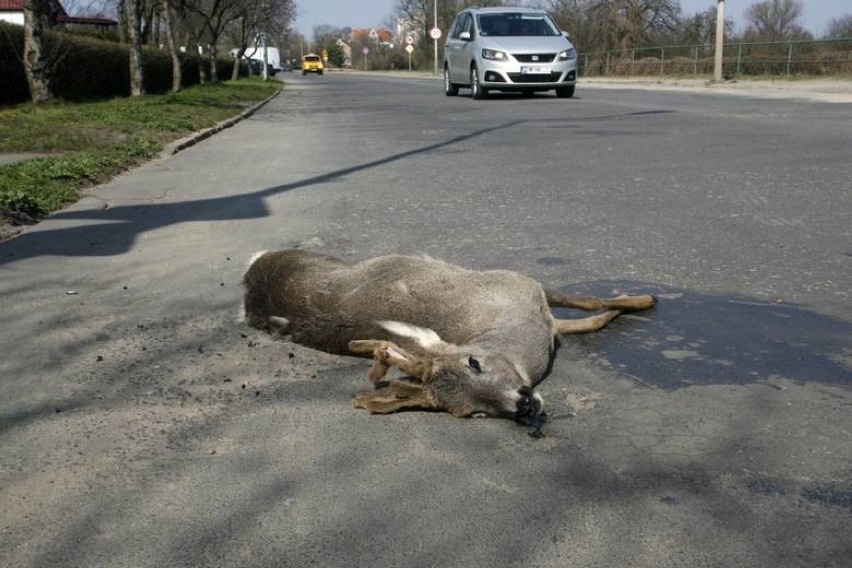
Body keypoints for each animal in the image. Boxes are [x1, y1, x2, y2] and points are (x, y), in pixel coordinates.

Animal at [243, 251, 656, 424]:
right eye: (472, 413)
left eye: (474, 362)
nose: (524, 404)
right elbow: (593, 318)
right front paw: (631, 302)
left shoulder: (525, 284)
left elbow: (590, 305)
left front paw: (642, 299)